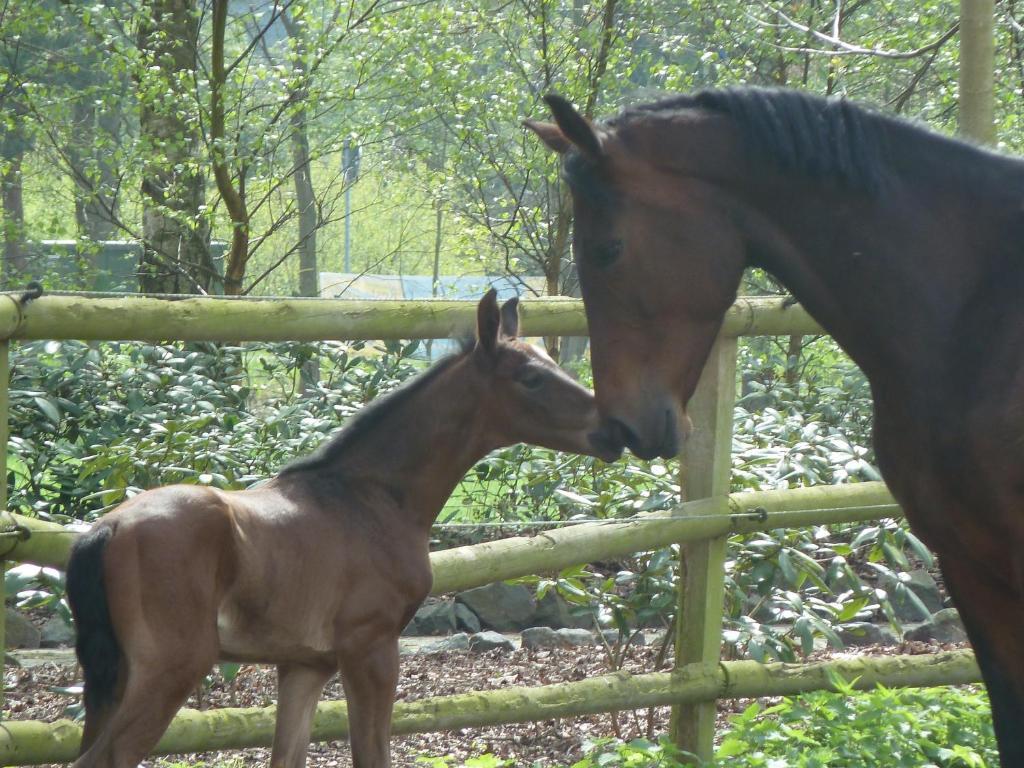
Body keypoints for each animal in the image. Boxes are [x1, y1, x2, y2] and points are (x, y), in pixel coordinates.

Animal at [66, 290, 622, 768]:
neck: (371, 497)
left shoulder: (306, 666)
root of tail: (106, 530)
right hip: (171, 669)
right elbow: (371, 755)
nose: (614, 432)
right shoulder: (370, 648)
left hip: (111, 679)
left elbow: (289, 756)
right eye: (531, 377)